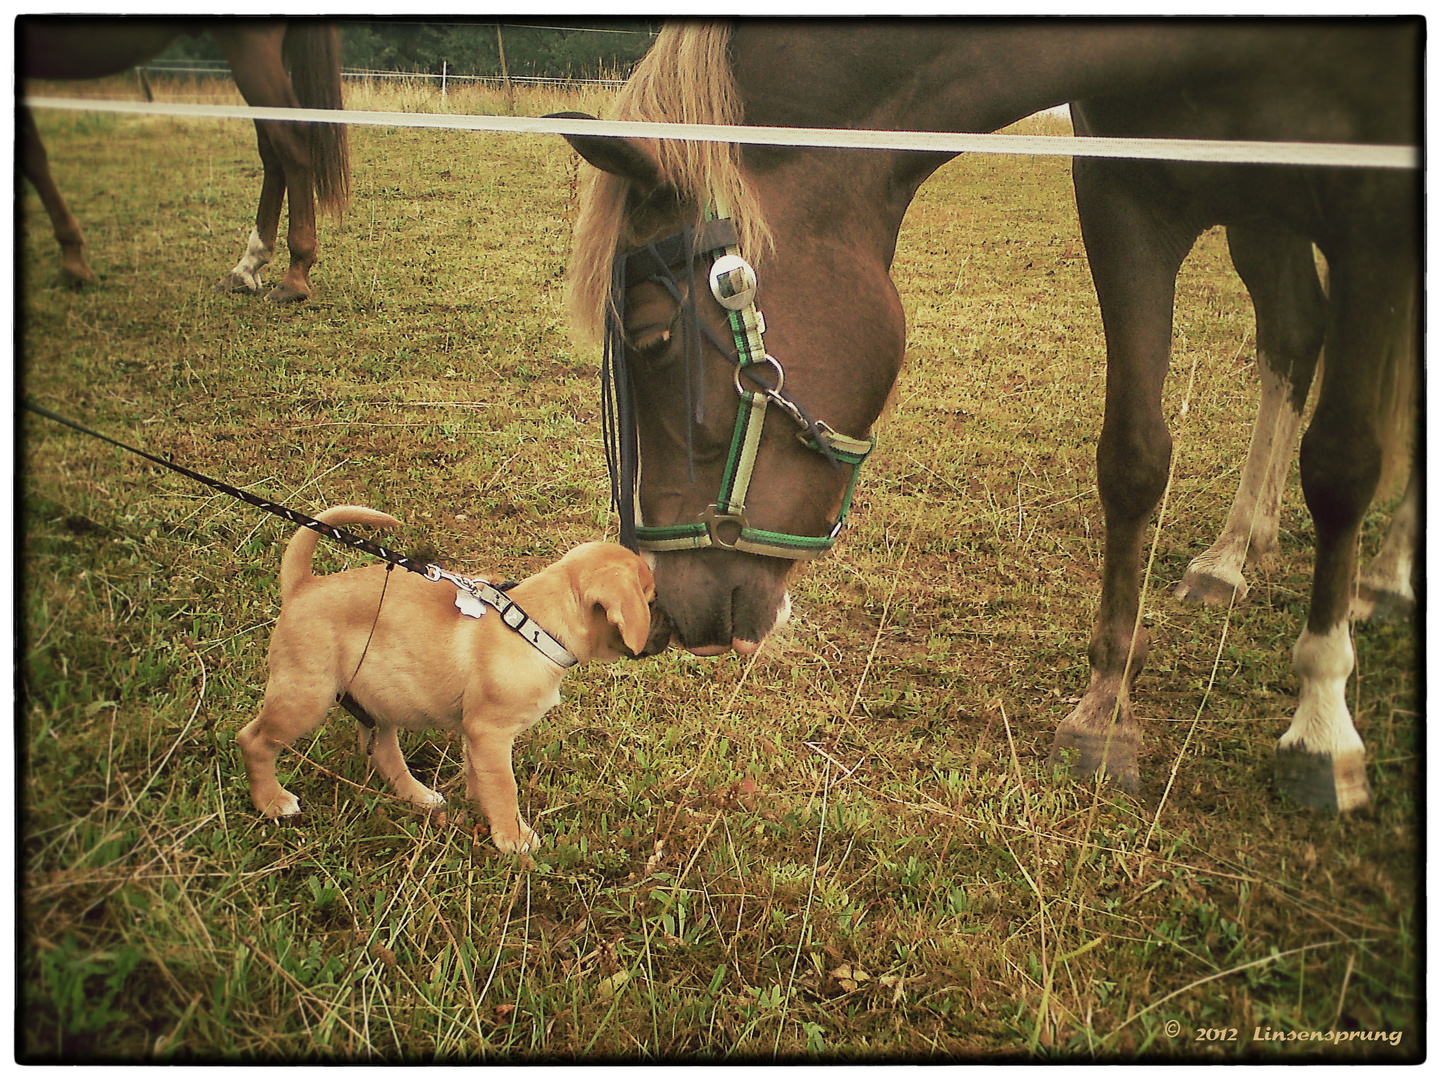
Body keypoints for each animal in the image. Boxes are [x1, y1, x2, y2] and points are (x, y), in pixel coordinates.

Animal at [19, 16, 348, 301]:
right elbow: (34, 157)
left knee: (290, 137)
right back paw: (245, 268)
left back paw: (294, 277)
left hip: (251, 47)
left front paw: (72, 264)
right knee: (272, 149)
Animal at [236, 504, 654, 853]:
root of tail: (303, 586)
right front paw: (514, 838)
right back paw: (272, 801)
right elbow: (504, 787)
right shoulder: (490, 732)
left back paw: (418, 796)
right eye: (650, 598)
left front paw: (477, 804)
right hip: (306, 696)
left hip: (380, 698)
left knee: (383, 751)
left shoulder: (475, 733)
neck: (533, 626)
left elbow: (478, 775)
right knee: (254, 740)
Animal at [559, 21, 1417, 807]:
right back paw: (1237, 549)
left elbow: (1341, 465)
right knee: (1292, 336)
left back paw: (1382, 577)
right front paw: (1105, 712)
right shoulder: (1124, 199)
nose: (664, 611)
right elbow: (1133, 456)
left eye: (651, 335)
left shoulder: (1375, 217)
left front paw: (1321, 723)